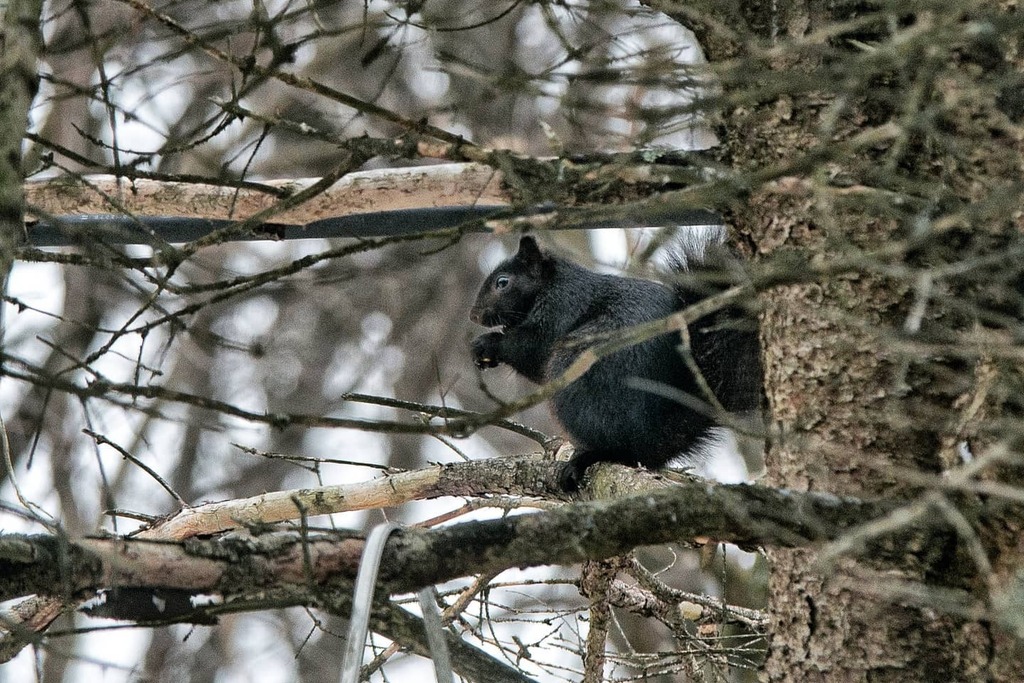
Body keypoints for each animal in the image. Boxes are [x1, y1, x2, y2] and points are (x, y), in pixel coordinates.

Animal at [470, 232, 761, 492]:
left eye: (503, 282)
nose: (474, 316)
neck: (551, 284)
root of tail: (655, 435)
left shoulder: (561, 309)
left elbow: (531, 351)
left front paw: (487, 344)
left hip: (575, 372)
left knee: (619, 450)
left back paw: (587, 458)